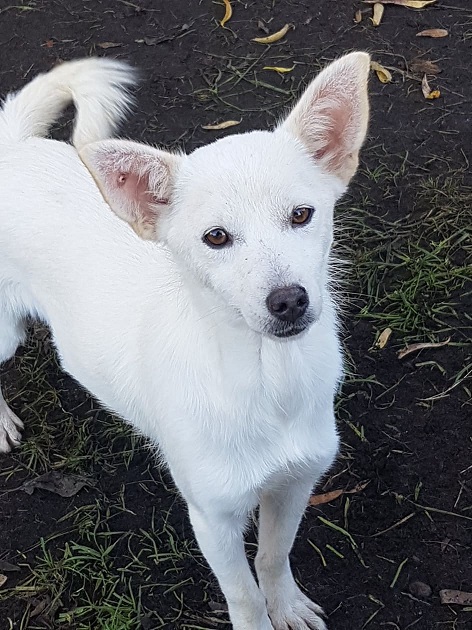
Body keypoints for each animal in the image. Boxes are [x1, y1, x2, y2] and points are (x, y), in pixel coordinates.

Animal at [0, 53, 369, 629]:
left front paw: (286, 606)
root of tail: (15, 149)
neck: (268, 380)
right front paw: (259, 618)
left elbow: (274, 555)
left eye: (302, 214)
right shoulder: (213, 518)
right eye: (215, 237)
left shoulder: (295, 485)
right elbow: (242, 594)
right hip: (5, 333)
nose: (289, 301)